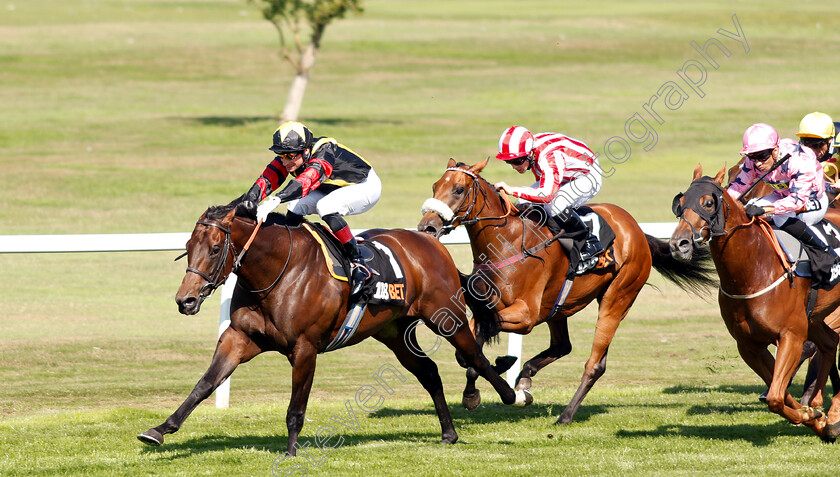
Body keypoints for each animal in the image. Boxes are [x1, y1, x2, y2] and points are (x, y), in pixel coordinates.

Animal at [140, 201, 528, 454]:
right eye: (188, 247)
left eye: (215, 247)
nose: (185, 300)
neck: (277, 271)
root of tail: (431, 243)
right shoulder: (240, 337)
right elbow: (205, 384)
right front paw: (160, 430)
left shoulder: (305, 347)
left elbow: (296, 408)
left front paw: (291, 452)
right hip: (393, 331)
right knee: (429, 371)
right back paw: (448, 433)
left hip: (446, 316)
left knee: (474, 355)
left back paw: (510, 395)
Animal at [416, 159, 716, 424]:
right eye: (434, 186)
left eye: (458, 189)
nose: (427, 226)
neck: (507, 242)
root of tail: (636, 230)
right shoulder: (490, 307)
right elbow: (469, 346)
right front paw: (482, 384)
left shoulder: (526, 315)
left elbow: (481, 340)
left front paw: (497, 369)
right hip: (557, 307)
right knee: (562, 345)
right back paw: (525, 376)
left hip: (618, 297)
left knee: (595, 364)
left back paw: (565, 415)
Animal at [668, 163, 840, 438]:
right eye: (680, 203)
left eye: (708, 203)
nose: (678, 244)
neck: (753, 271)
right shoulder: (749, 344)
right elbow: (779, 394)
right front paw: (814, 416)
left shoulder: (791, 335)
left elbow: (776, 397)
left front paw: (814, 415)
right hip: (814, 318)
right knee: (830, 342)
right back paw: (825, 413)